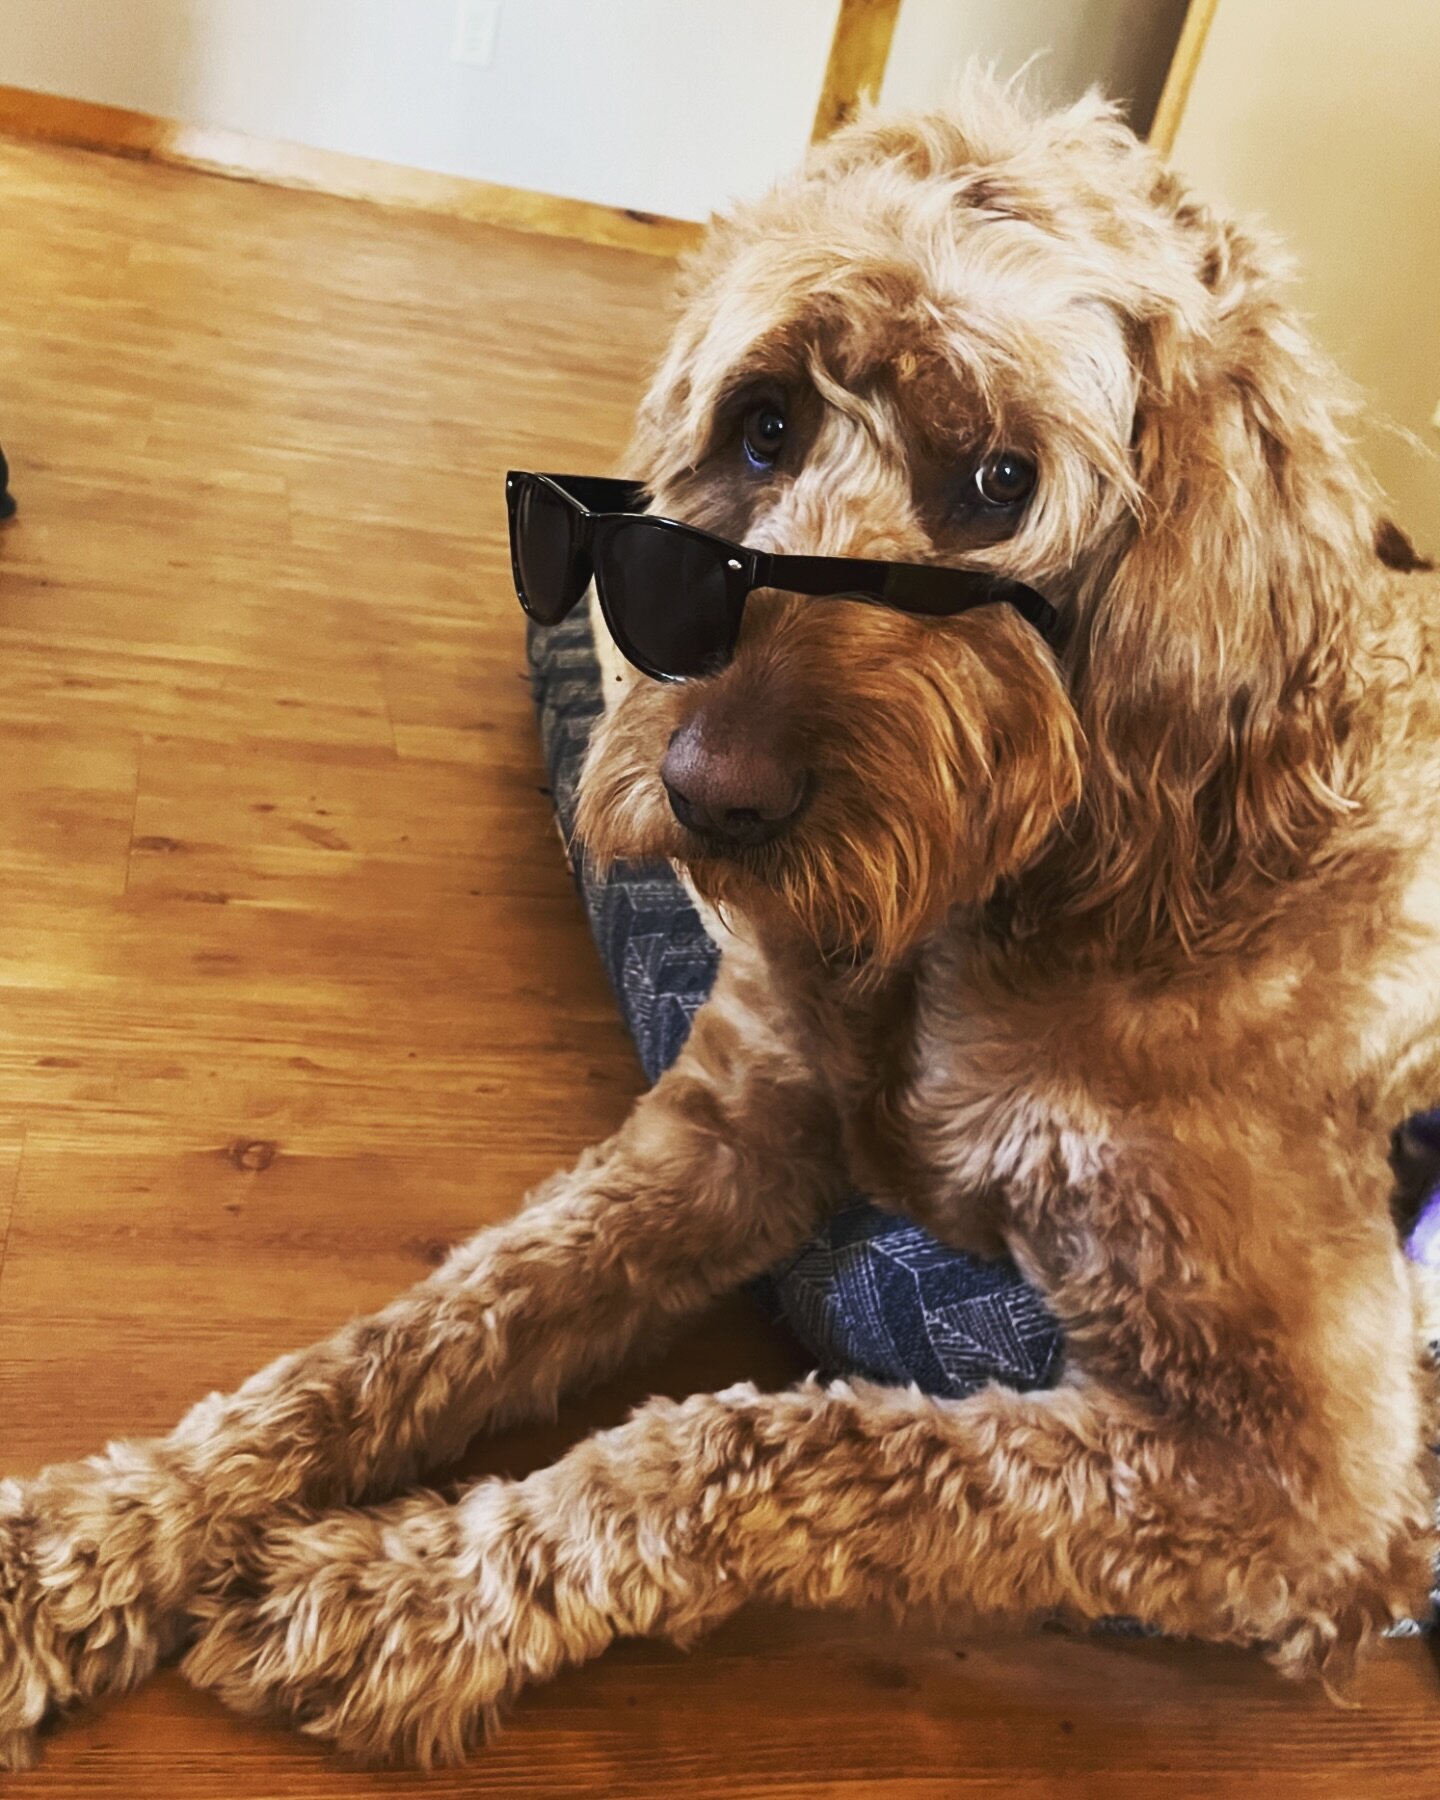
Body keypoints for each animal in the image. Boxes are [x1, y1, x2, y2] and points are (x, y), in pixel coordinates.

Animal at [2, 73, 1440, 1771]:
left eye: (1002, 483)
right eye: (766, 425)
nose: (707, 793)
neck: (997, 908)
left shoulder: (1305, 1484)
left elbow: (771, 1444)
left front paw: (416, 1590)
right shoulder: (724, 1135)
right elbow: (412, 1334)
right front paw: (107, 1529)